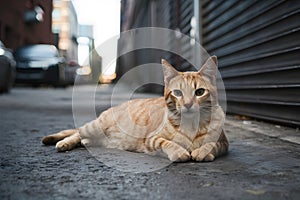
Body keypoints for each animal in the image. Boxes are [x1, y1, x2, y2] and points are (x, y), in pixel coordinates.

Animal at [42, 55, 229, 162]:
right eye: (177, 93)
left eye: (199, 92)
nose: (188, 104)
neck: (191, 126)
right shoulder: (152, 139)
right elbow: (167, 143)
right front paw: (179, 152)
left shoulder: (224, 143)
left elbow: (212, 144)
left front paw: (202, 151)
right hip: (95, 126)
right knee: (77, 132)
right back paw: (61, 142)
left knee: (83, 138)